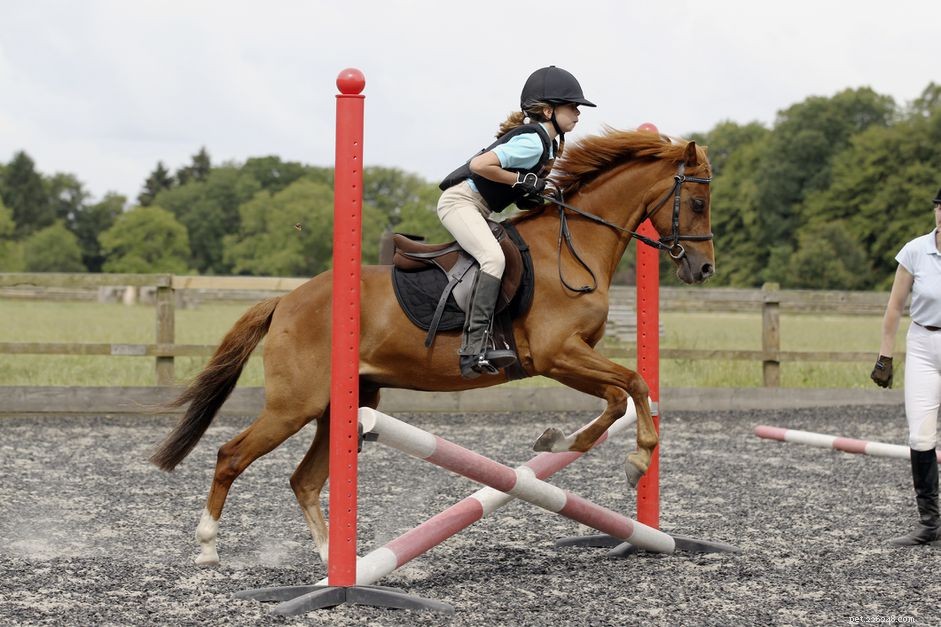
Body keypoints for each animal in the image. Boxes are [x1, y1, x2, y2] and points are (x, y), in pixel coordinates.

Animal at [150, 129, 715, 566]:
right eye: (697, 202)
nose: (703, 269)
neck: (573, 246)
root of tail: (286, 300)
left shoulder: (570, 357)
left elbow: (619, 396)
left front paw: (559, 442)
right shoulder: (556, 354)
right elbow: (632, 384)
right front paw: (632, 460)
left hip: (345, 404)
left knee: (304, 480)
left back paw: (333, 558)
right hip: (296, 405)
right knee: (230, 455)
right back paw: (208, 548)